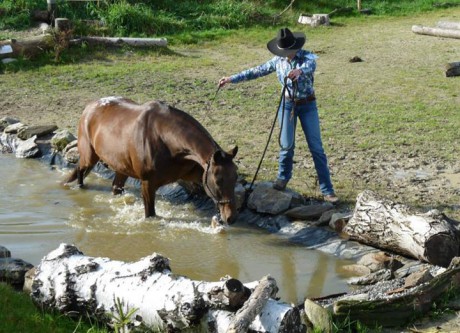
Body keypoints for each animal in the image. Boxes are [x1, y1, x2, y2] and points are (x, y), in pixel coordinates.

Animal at [64, 97, 239, 224]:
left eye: (235, 177)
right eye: (218, 180)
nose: (231, 217)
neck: (165, 139)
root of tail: (89, 107)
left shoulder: (194, 175)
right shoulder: (148, 184)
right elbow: (150, 214)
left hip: (121, 168)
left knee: (115, 187)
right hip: (89, 157)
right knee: (80, 170)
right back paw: (79, 188)